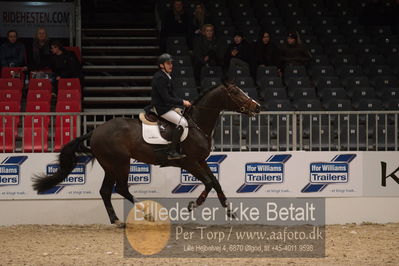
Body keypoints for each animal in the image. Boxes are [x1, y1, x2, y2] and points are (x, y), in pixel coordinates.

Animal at [32, 82, 262, 225]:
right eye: (236, 92)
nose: (257, 107)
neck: (197, 125)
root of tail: (95, 130)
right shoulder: (189, 163)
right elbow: (207, 183)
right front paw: (192, 205)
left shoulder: (201, 161)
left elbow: (215, 182)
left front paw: (229, 209)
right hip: (121, 163)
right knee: (121, 188)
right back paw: (148, 215)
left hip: (110, 165)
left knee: (106, 191)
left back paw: (117, 221)